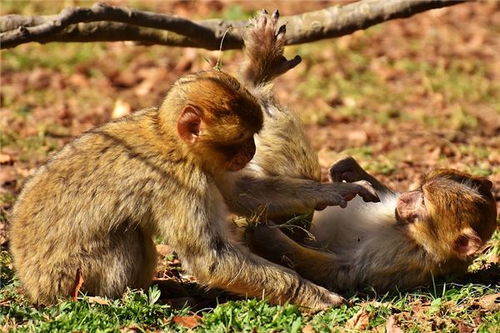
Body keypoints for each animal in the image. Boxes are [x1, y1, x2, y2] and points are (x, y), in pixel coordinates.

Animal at [9, 11, 378, 310]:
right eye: (243, 139)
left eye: (252, 138)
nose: (251, 151)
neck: (172, 142)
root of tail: (33, 286)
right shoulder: (179, 184)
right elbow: (210, 258)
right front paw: (312, 294)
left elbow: (242, 194)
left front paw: (332, 192)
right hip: (69, 277)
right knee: (128, 235)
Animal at [245, 156, 496, 290]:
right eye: (420, 189)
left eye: (424, 202)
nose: (406, 198)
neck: (411, 234)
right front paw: (350, 169)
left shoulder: (403, 258)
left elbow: (343, 271)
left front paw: (267, 234)